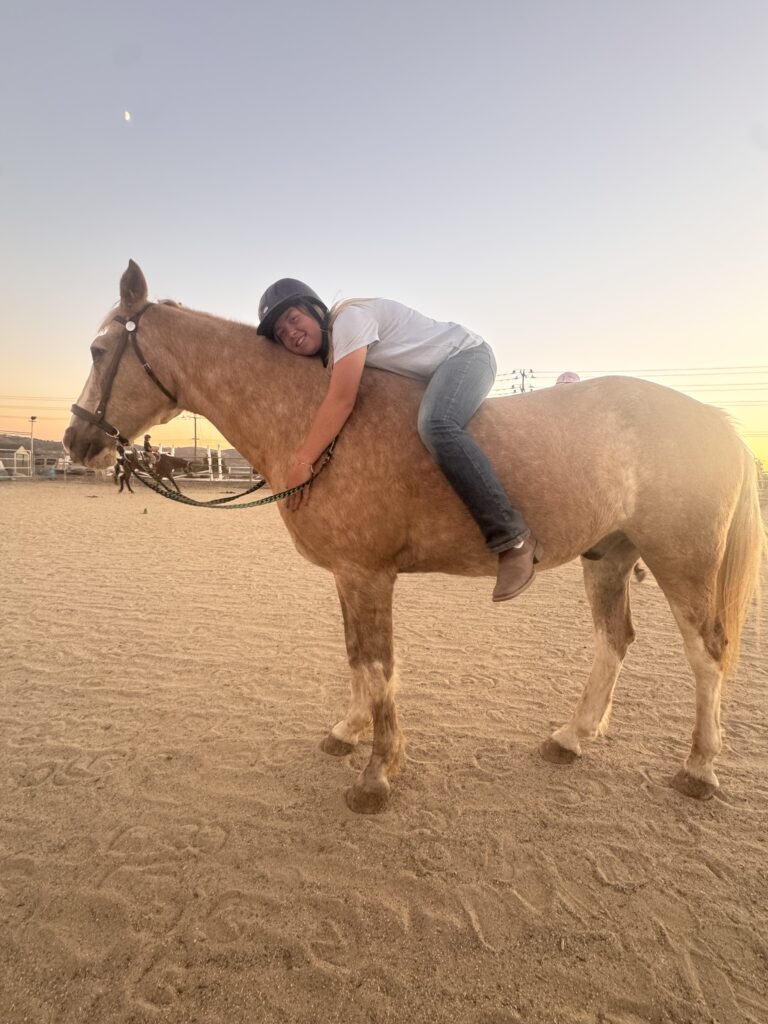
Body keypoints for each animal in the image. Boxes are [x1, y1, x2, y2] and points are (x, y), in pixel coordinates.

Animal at [64, 261, 765, 813]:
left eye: (99, 352)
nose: (76, 441)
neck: (320, 418)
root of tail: (713, 420)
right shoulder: (349, 575)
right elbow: (356, 657)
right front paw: (347, 733)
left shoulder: (369, 575)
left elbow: (379, 667)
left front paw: (377, 774)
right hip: (610, 556)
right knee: (613, 641)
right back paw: (571, 737)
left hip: (682, 562)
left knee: (706, 653)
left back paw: (699, 769)